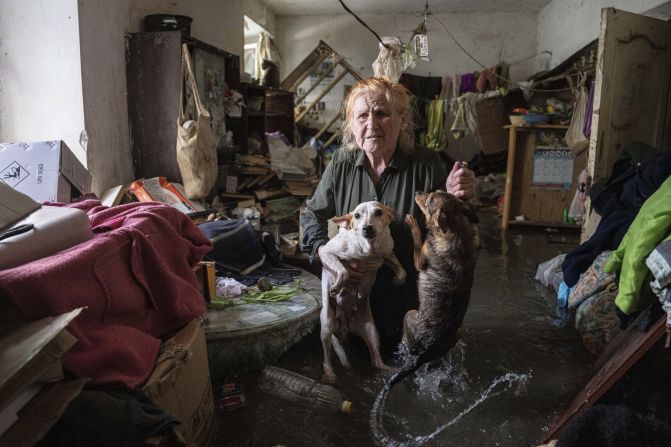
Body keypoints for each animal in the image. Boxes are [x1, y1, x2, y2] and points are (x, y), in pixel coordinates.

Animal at [318, 201, 406, 384]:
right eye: (357, 215)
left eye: (379, 213)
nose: (367, 228)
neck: (368, 251)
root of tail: (344, 326)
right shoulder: (327, 252)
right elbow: (344, 270)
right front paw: (336, 286)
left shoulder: (387, 252)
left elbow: (400, 268)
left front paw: (399, 280)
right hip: (326, 327)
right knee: (326, 358)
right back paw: (330, 374)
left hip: (372, 332)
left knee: (376, 362)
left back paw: (393, 371)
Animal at [370, 191, 480, 446]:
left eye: (428, 199)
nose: (419, 193)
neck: (457, 229)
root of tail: (423, 354)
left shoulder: (421, 259)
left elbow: (419, 241)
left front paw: (413, 222)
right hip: (453, 337)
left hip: (409, 315)